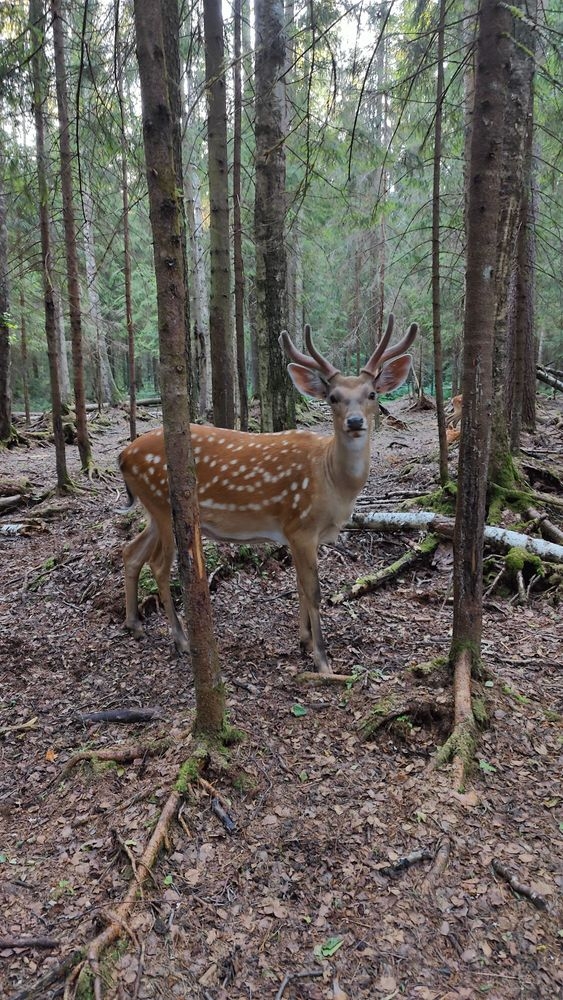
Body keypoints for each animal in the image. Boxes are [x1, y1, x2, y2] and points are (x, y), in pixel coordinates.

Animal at [120, 312, 418, 672]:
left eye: (372, 393)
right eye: (333, 397)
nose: (356, 421)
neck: (332, 482)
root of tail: (123, 455)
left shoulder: (300, 533)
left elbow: (300, 586)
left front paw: (304, 641)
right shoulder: (300, 525)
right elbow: (313, 590)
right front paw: (322, 659)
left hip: (153, 509)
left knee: (131, 552)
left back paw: (134, 624)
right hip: (165, 505)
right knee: (159, 565)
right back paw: (180, 640)